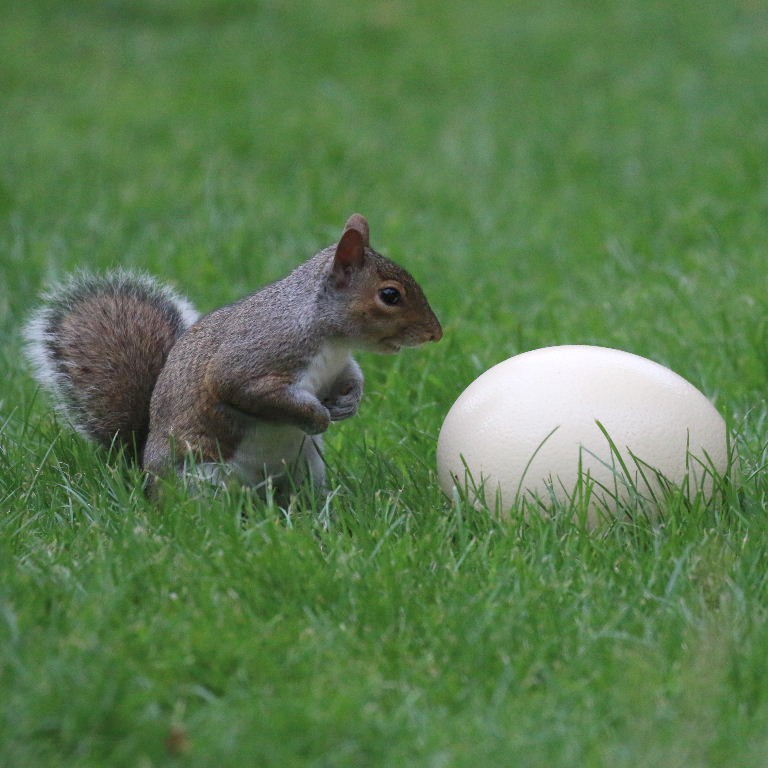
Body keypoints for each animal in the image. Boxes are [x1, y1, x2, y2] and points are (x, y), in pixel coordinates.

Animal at [24, 214, 443, 498]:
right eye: (390, 295)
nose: (435, 334)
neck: (331, 339)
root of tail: (143, 473)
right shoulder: (256, 358)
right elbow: (246, 390)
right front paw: (318, 416)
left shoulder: (339, 364)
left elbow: (351, 376)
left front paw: (349, 402)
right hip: (204, 477)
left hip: (307, 465)